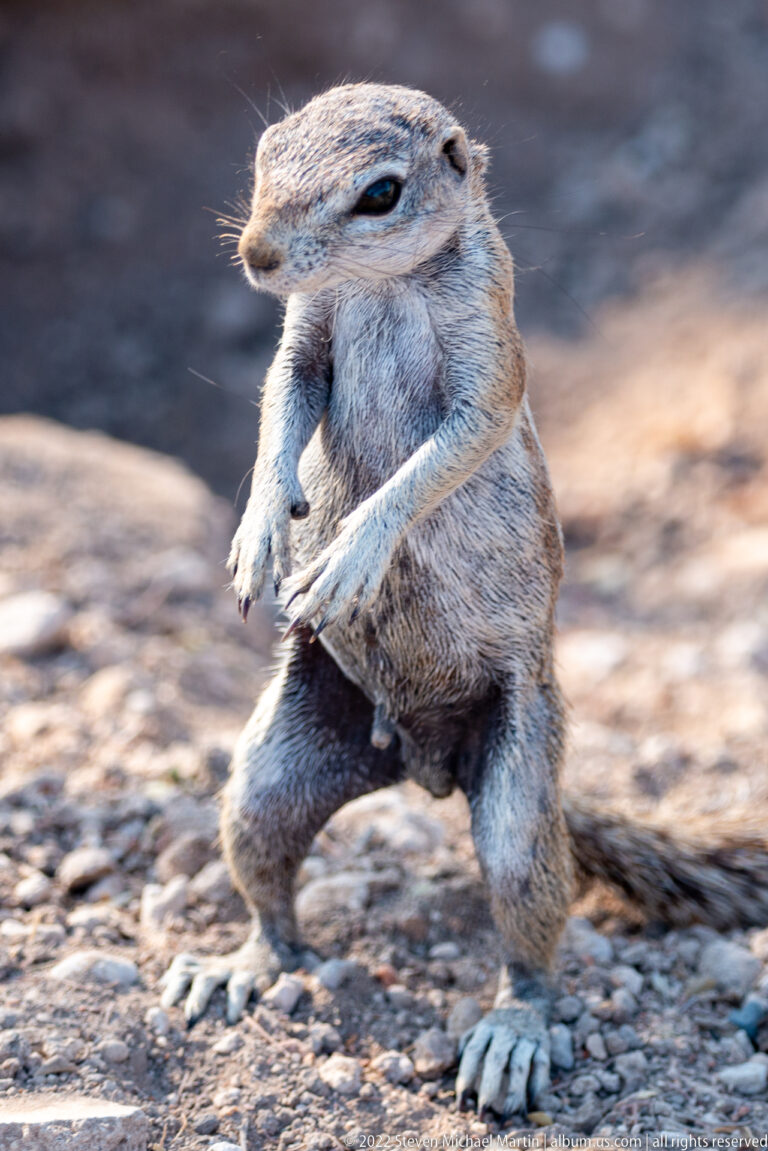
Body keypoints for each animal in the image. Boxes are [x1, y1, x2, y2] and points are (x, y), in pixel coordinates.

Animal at [161, 83, 768, 1119]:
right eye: (265, 152)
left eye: (381, 193)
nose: (258, 256)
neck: (382, 286)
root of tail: (425, 764)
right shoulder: (307, 335)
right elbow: (282, 402)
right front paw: (261, 531)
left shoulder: (490, 352)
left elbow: (447, 450)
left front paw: (351, 553)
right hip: (279, 767)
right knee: (269, 874)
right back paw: (240, 962)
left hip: (521, 787)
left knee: (530, 926)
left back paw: (511, 1034)